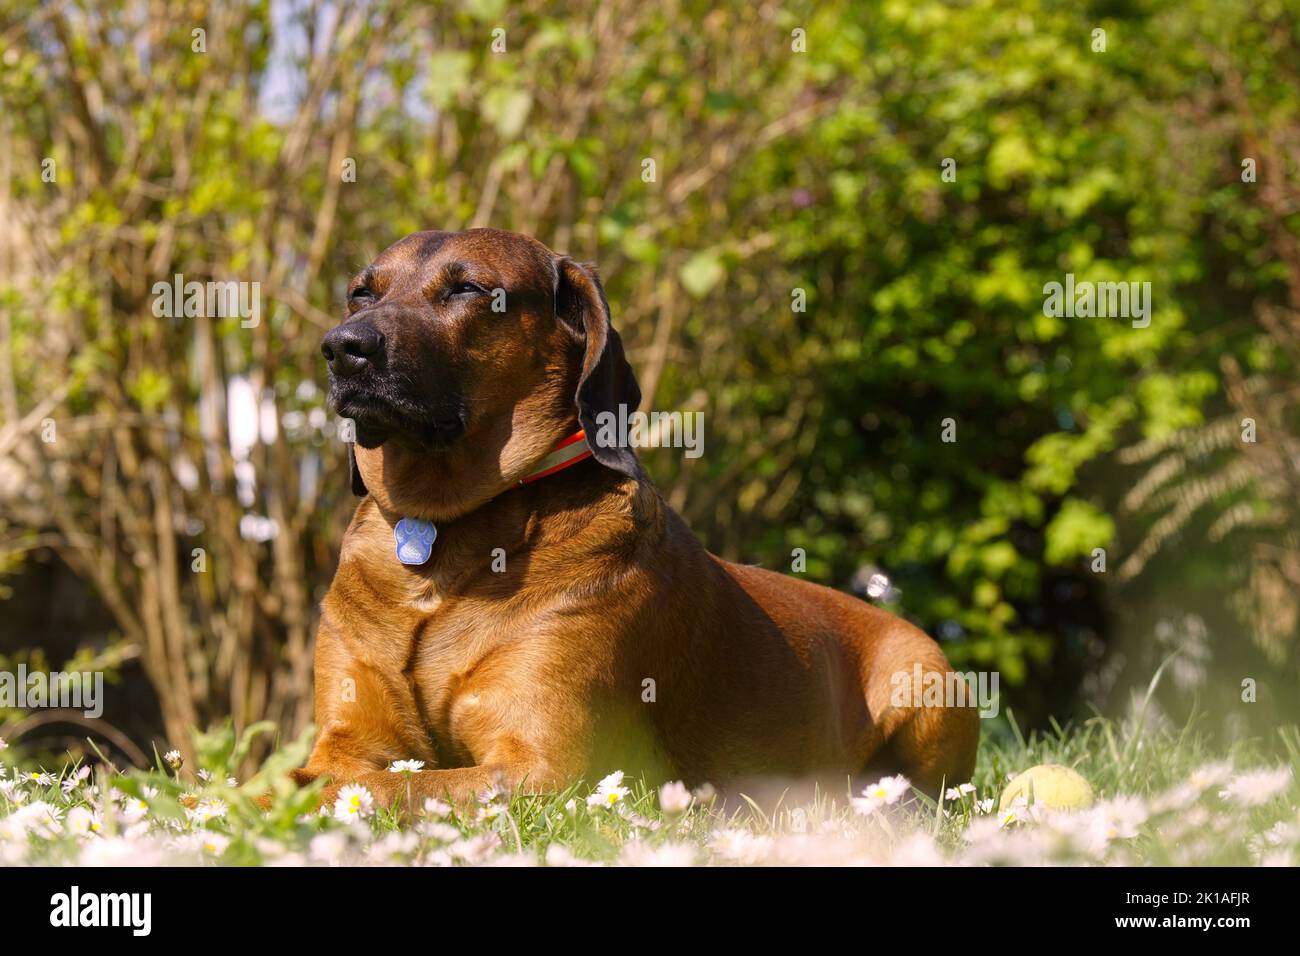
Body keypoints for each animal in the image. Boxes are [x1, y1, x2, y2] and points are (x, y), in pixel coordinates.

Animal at [299, 227, 977, 811]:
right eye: (362, 292)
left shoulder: (544, 767)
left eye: (467, 288)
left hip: (926, 676)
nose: (341, 348)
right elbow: (326, 774)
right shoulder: (348, 742)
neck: (442, 531)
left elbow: (368, 788)